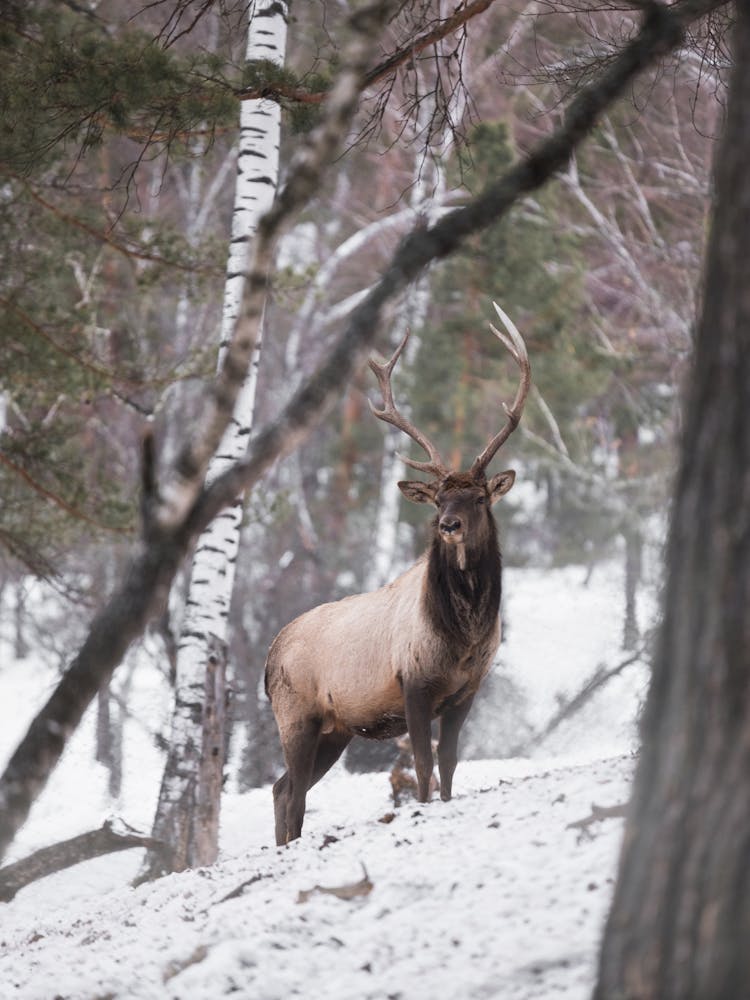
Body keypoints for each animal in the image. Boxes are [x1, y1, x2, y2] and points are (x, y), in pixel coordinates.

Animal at [268, 298, 532, 844]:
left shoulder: (466, 691)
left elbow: (449, 765)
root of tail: (266, 659)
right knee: (294, 792)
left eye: (478, 497)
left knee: (283, 787)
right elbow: (424, 766)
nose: (450, 524)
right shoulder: (413, 682)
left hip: (335, 730)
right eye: (438, 500)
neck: (462, 636)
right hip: (296, 713)